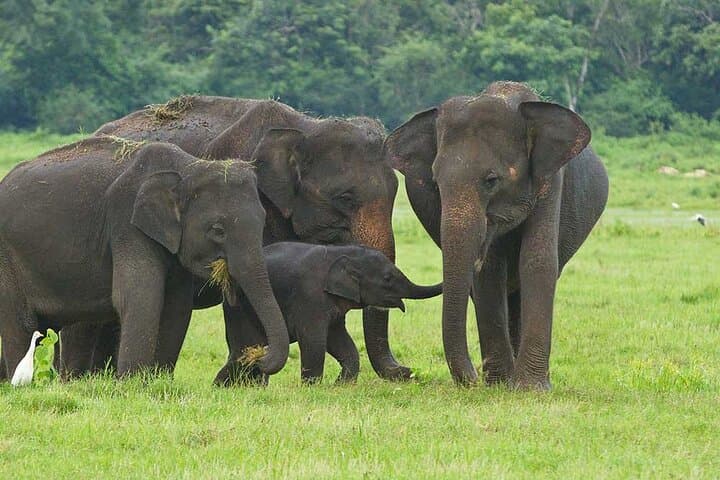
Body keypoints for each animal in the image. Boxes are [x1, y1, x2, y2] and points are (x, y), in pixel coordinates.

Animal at [0, 137, 288, 380]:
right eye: (218, 230)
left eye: (263, 222)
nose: (260, 358)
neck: (188, 166)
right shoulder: (127, 223)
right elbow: (140, 296)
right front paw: (131, 384)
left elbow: (176, 305)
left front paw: (156, 382)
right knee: (21, 325)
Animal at [214, 242, 442, 385]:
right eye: (387, 278)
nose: (412, 372)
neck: (342, 251)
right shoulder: (310, 296)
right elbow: (314, 340)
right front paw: (310, 388)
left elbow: (339, 340)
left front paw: (341, 385)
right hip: (240, 310)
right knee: (244, 350)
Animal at [384, 81, 609, 390]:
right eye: (435, 184)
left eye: (491, 180)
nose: (473, 378)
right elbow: (490, 272)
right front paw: (500, 384)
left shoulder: (552, 180)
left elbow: (537, 260)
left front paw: (530, 390)